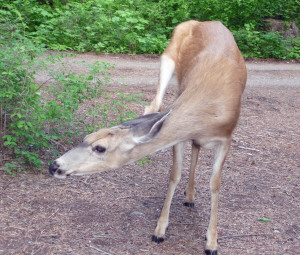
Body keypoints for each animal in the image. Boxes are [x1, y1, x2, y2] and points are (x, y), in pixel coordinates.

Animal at [48, 20, 246, 254]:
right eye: (88, 136)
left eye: (100, 148)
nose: (54, 165)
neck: (209, 110)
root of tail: (206, 22)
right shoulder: (178, 135)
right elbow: (174, 174)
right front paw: (160, 230)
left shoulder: (226, 138)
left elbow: (215, 184)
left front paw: (212, 242)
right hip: (166, 60)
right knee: (154, 105)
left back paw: (190, 197)